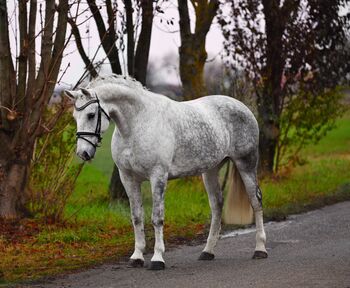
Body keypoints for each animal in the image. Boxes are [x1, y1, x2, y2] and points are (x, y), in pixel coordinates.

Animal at [65, 75, 268, 270]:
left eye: (91, 115)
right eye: (75, 116)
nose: (83, 153)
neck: (138, 123)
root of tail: (242, 106)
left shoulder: (158, 177)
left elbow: (157, 218)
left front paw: (157, 259)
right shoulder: (128, 178)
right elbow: (136, 217)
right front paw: (137, 257)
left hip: (246, 164)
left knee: (256, 201)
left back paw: (260, 249)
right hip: (210, 171)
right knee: (217, 206)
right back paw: (207, 252)